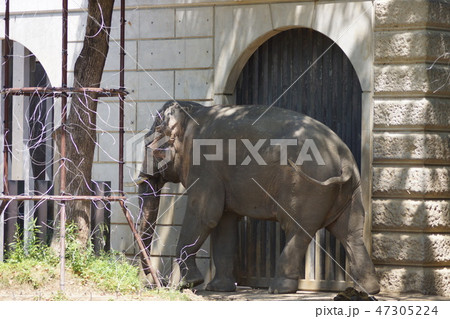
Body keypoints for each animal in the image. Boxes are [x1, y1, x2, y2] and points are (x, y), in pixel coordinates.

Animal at [138, 101, 380, 296]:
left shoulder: (206, 167)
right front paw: (218, 288)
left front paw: (187, 284)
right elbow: (224, 222)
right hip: (351, 190)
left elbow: (205, 215)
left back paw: (279, 288)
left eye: (150, 146)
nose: (155, 283)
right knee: (350, 231)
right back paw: (368, 289)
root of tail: (343, 160)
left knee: (297, 229)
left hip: (305, 186)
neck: (193, 112)